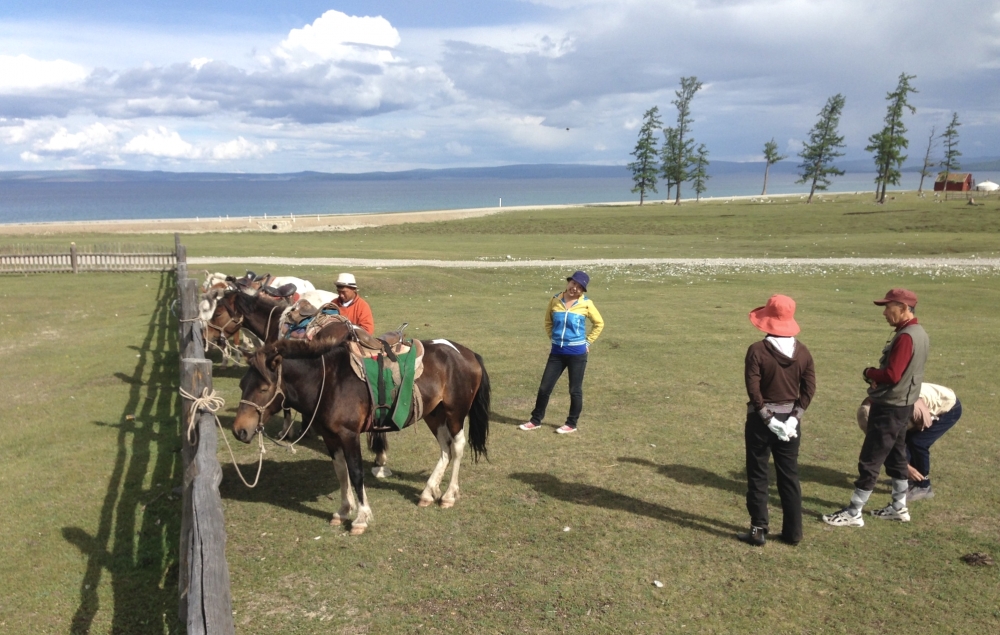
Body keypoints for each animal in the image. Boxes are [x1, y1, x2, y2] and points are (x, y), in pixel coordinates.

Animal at [230, 338, 488, 536]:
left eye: (263, 388)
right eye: (242, 384)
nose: (239, 430)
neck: (328, 382)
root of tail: (466, 353)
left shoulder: (349, 435)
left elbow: (355, 473)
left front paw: (361, 517)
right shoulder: (331, 437)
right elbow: (341, 472)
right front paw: (344, 510)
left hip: (455, 414)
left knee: (457, 447)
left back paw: (448, 495)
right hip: (434, 413)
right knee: (445, 448)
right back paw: (428, 491)